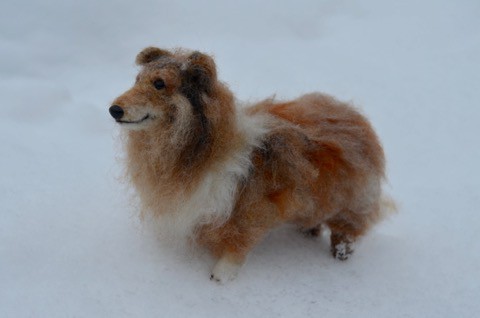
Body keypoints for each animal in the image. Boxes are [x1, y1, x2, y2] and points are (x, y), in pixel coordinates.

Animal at [110, 46, 392, 280]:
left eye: (159, 83)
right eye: (137, 80)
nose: (114, 110)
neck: (203, 150)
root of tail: (355, 116)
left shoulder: (251, 212)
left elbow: (238, 246)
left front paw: (221, 275)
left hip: (351, 204)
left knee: (348, 230)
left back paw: (340, 252)